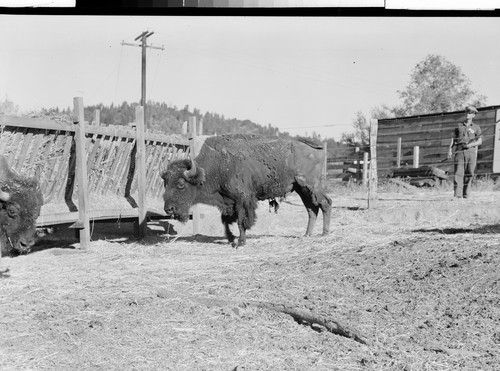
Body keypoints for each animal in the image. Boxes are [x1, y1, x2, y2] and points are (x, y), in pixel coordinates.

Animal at [161, 135, 332, 248]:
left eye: (181, 184)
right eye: (165, 183)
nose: (168, 208)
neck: (217, 166)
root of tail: (314, 147)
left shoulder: (242, 200)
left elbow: (241, 222)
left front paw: (240, 243)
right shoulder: (227, 202)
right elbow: (225, 221)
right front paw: (231, 239)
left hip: (310, 185)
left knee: (325, 203)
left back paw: (325, 233)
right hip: (301, 188)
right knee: (311, 208)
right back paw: (307, 234)